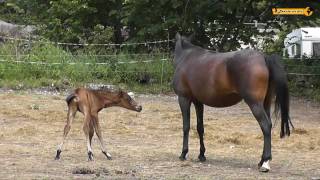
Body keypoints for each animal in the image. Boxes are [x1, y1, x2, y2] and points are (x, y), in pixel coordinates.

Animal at [174, 33, 294, 172]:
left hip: (254, 104)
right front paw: (202, 155)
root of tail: (264, 58)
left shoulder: (183, 98)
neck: (186, 57)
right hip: (266, 103)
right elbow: (200, 128)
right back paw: (261, 161)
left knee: (265, 125)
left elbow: (186, 127)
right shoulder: (198, 102)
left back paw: (265, 162)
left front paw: (183, 153)